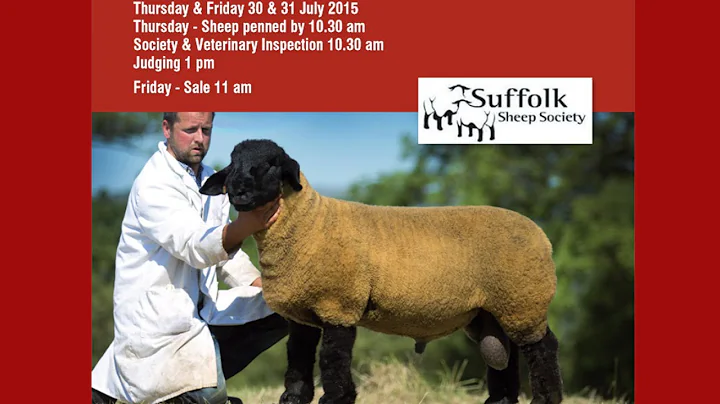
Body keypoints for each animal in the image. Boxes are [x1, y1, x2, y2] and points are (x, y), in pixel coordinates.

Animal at [199, 139, 564, 404]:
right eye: (233, 163)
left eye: (272, 164)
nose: (239, 191)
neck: (309, 223)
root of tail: (542, 236)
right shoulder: (302, 316)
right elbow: (298, 361)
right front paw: (293, 398)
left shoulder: (339, 305)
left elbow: (332, 361)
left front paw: (337, 399)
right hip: (496, 309)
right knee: (507, 354)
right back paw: (500, 401)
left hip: (524, 300)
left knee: (543, 350)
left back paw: (546, 399)